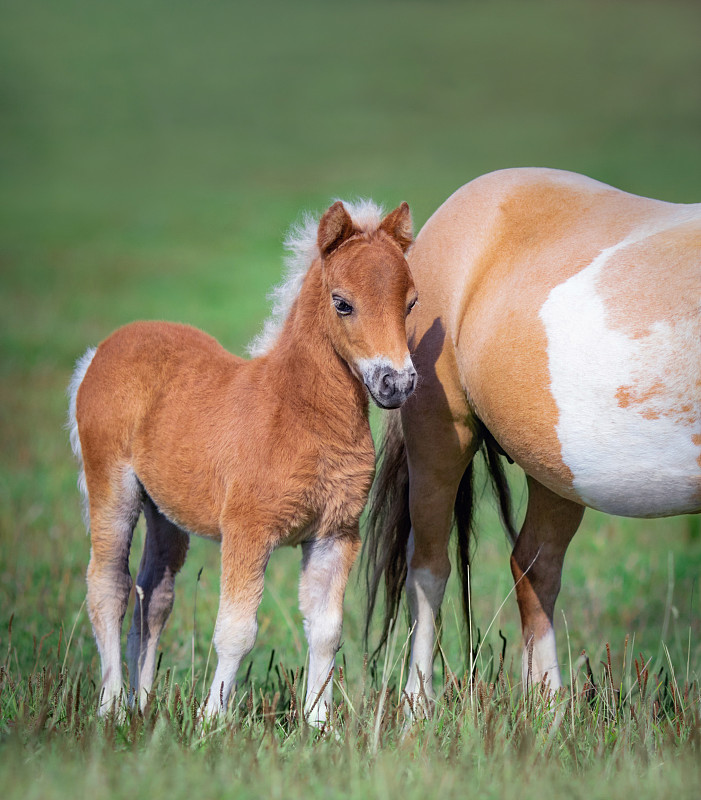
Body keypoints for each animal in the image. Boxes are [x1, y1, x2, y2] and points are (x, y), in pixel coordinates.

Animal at [69, 200, 416, 724]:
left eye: (411, 303)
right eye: (342, 303)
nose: (397, 384)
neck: (298, 413)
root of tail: (103, 349)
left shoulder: (335, 534)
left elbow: (327, 632)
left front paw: (319, 725)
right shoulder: (248, 530)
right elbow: (237, 630)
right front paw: (211, 720)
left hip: (165, 510)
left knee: (154, 595)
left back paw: (142, 705)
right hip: (112, 485)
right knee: (108, 586)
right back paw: (111, 709)